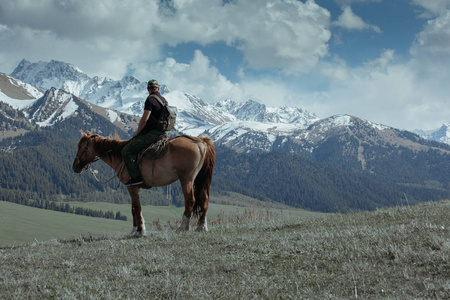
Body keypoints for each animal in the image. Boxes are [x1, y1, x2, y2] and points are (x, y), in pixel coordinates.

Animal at [72, 130, 216, 236]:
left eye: (80, 146)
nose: (74, 167)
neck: (120, 156)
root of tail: (201, 141)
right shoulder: (133, 187)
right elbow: (134, 208)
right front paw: (135, 230)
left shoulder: (132, 187)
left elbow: (136, 208)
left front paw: (139, 231)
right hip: (199, 180)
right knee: (204, 199)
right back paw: (201, 227)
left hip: (187, 179)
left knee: (190, 200)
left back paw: (182, 228)